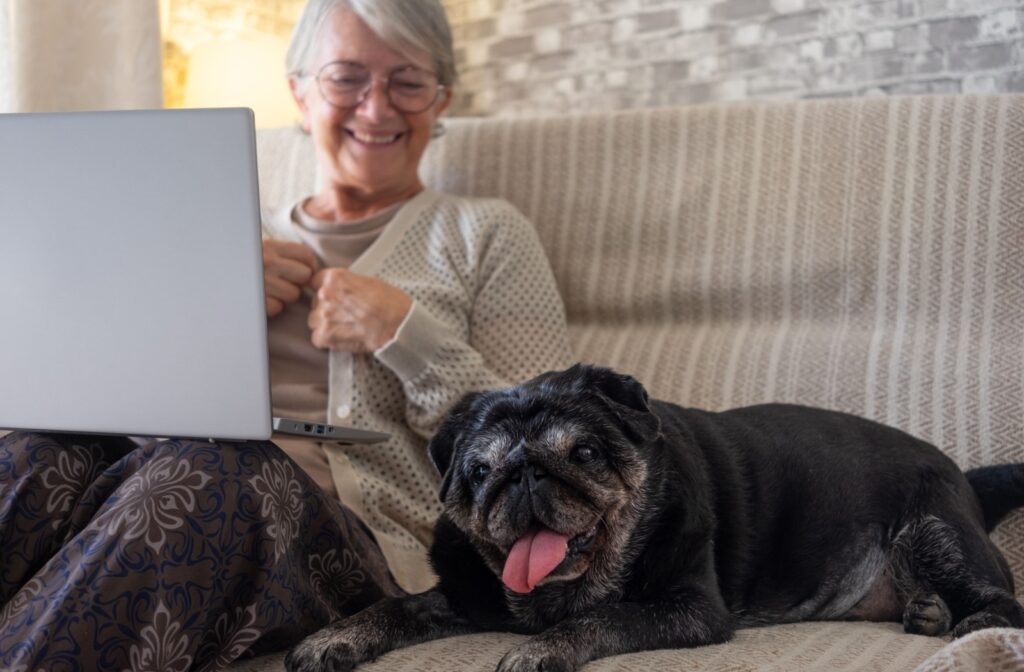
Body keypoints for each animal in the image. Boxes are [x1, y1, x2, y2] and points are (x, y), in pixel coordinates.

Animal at [284, 366, 1024, 672]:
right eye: (480, 471)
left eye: (583, 453)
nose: (524, 472)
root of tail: (962, 473)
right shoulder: (460, 600)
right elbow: (391, 607)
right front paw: (335, 638)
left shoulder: (689, 609)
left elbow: (604, 618)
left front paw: (543, 648)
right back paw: (927, 613)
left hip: (934, 532)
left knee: (1004, 598)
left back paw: (967, 625)